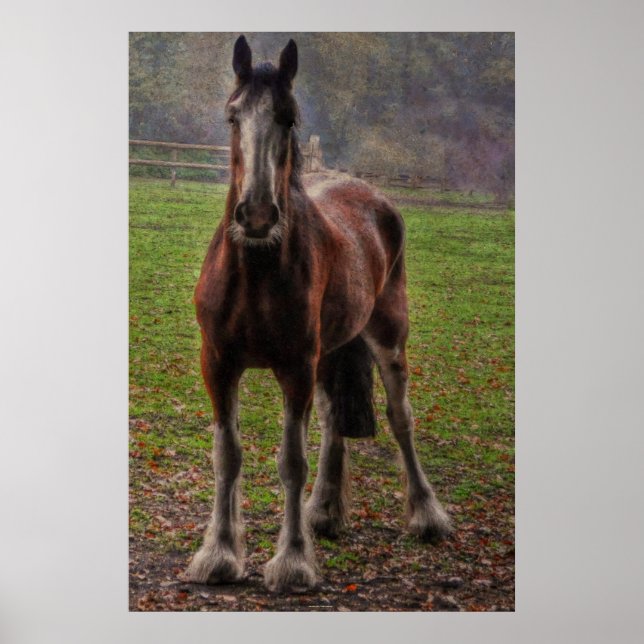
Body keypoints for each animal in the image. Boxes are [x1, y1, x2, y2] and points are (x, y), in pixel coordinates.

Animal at [184, 35, 451, 593]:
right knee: (333, 419)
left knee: (400, 418)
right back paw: (324, 512)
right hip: (332, 351)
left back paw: (427, 516)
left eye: (288, 118)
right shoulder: (218, 364)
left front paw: (292, 561)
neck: (257, 270)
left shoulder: (295, 367)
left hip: (388, 338)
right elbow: (227, 456)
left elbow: (291, 461)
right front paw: (219, 553)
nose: (256, 215)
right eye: (232, 117)